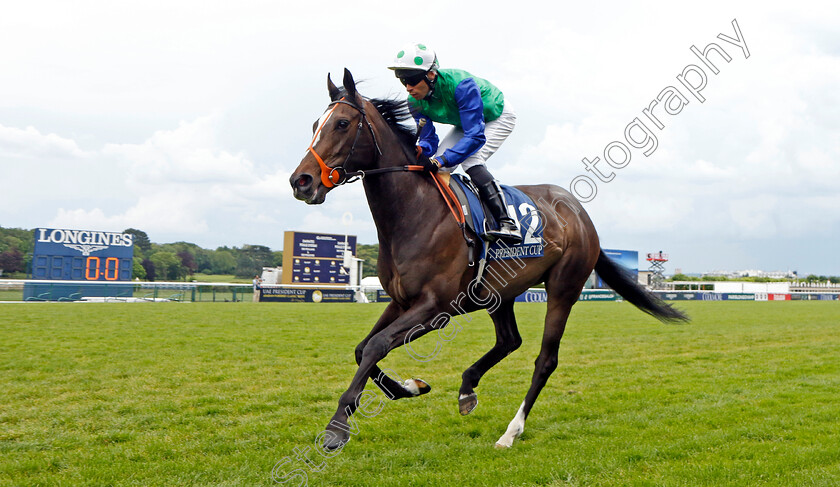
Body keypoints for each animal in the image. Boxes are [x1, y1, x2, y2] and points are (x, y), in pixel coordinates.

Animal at [288, 67, 684, 450]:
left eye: (342, 123)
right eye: (315, 124)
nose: (301, 181)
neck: (414, 212)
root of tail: (579, 213)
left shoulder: (436, 308)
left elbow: (376, 345)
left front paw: (336, 428)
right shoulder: (400, 301)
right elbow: (363, 349)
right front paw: (412, 386)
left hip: (564, 287)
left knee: (545, 359)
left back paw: (511, 431)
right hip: (499, 292)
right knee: (509, 341)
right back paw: (467, 388)